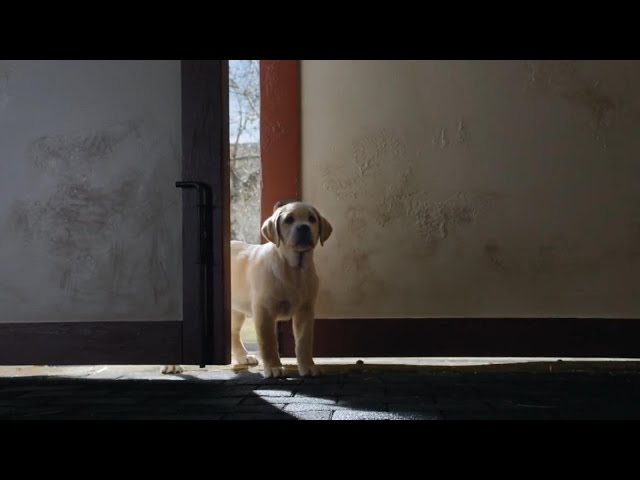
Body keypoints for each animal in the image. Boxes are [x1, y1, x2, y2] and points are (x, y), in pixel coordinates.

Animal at [162, 200, 332, 378]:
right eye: (289, 220)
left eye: (312, 219)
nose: (303, 227)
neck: (293, 268)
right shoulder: (264, 312)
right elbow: (268, 343)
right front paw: (274, 367)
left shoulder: (305, 311)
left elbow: (304, 342)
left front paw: (308, 366)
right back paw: (171, 365)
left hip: (235, 310)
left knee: (233, 333)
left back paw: (243, 356)